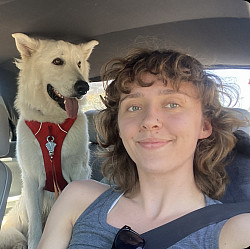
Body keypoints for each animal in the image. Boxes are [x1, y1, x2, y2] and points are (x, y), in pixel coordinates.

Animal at [0, 33, 98, 249]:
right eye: (57, 61)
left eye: (79, 63)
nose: (84, 87)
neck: (52, 124)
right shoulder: (32, 179)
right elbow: (36, 225)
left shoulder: (79, 172)